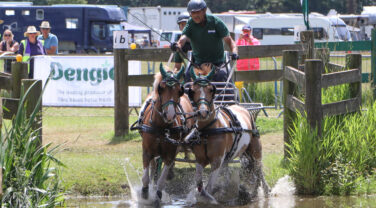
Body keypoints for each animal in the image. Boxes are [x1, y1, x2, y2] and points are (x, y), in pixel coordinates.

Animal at [131, 63, 195, 205]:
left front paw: (158, 196)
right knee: (153, 167)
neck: (161, 126)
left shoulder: (169, 154)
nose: (170, 115)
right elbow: (145, 177)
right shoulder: (147, 152)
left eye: (179, 91)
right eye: (161, 89)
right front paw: (145, 193)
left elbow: (162, 179)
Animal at [186, 64, 270, 204]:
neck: (209, 129)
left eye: (211, 89)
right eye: (192, 90)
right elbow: (199, 183)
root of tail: (242, 108)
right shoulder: (201, 160)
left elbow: (208, 187)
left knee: (259, 169)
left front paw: (212, 199)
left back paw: (264, 190)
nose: (203, 112)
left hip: (255, 150)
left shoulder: (217, 161)